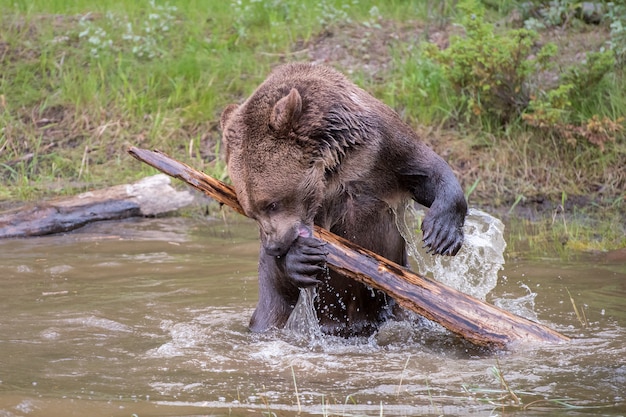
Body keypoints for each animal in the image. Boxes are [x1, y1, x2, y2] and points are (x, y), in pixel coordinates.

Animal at [218, 61, 464, 336]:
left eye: (272, 203)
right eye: (251, 212)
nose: (275, 246)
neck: (333, 163)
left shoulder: (380, 148)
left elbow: (425, 168)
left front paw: (442, 232)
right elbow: (277, 276)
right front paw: (300, 257)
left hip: (397, 306)